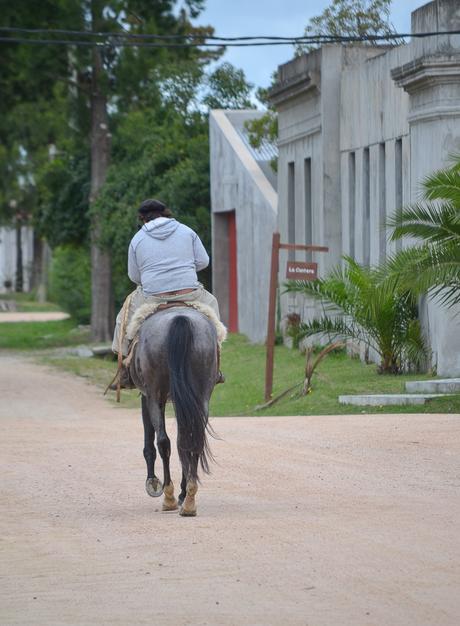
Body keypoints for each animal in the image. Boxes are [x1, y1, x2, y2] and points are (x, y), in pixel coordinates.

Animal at [130, 304, 218, 516]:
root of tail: (180, 319)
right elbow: (183, 440)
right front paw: (183, 493)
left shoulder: (147, 396)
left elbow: (150, 440)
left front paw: (153, 482)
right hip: (201, 395)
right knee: (193, 440)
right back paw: (189, 501)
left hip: (156, 395)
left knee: (163, 441)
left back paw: (169, 497)